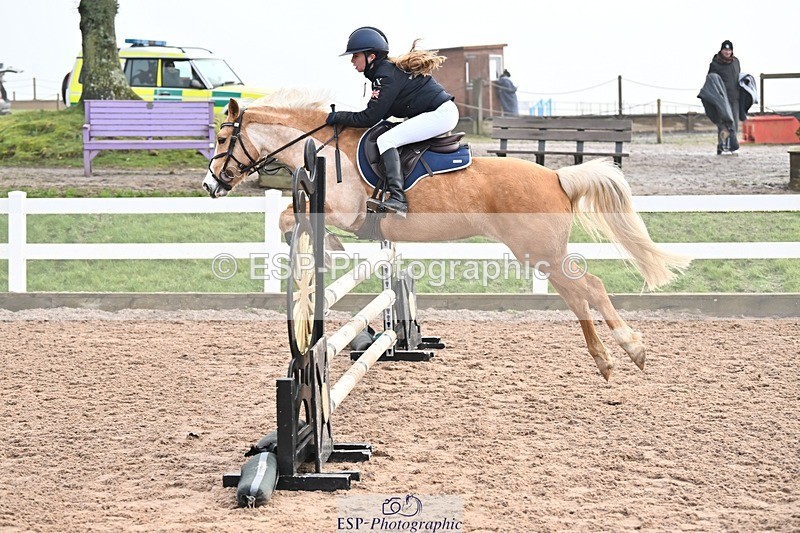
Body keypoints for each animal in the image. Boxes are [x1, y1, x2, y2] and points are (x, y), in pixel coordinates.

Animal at [202, 90, 691, 381]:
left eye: (223, 139)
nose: (210, 185)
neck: (321, 147)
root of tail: (558, 176)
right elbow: (290, 219)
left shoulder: (346, 210)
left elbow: (291, 218)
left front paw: (328, 248)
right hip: (542, 254)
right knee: (579, 293)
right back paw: (609, 358)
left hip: (539, 251)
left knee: (589, 287)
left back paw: (627, 350)